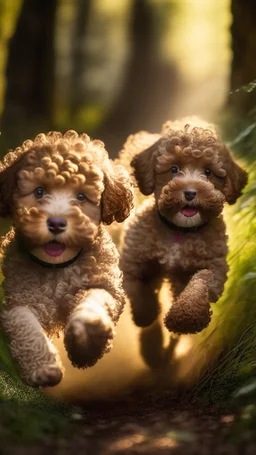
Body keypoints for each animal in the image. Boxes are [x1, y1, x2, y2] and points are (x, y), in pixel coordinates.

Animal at [0, 130, 134, 386]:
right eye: (39, 192)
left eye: (81, 196)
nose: (56, 223)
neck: (58, 267)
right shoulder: (19, 300)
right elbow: (26, 326)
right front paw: (44, 369)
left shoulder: (105, 283)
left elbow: (96, 299)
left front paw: (89, 334)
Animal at [120, 119, 248, 334]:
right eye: (173, 169)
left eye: (208, 172)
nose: (190, 193)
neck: (179, 232)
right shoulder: (133, 260)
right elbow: (138, 290)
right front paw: (146, 315)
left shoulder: (215, 265)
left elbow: (201, 281)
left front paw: (185, 318)